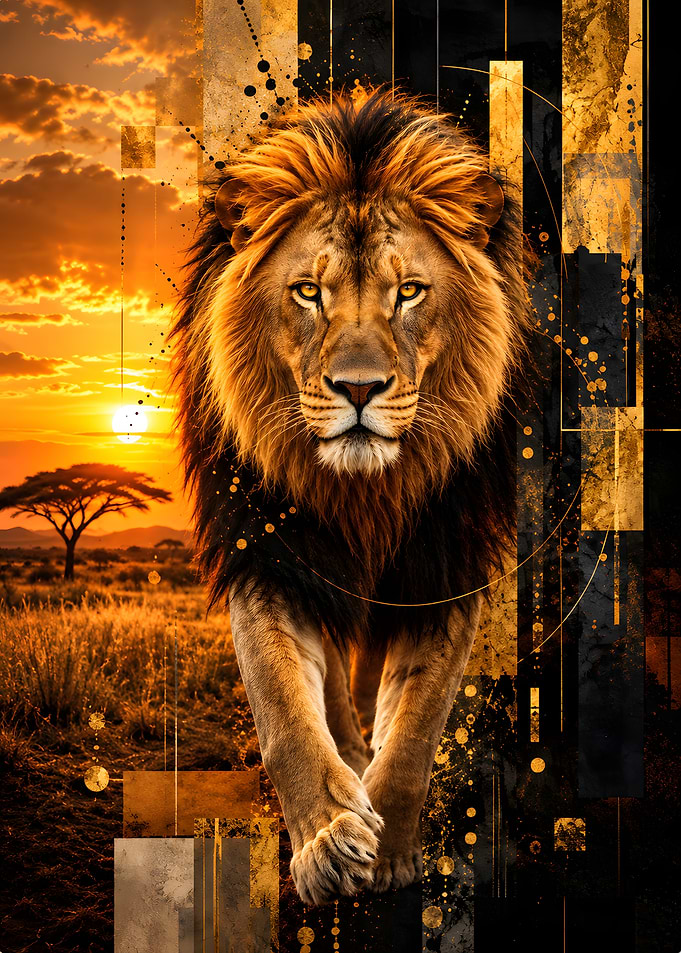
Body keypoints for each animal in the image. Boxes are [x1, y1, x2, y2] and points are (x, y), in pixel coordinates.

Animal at [171, 91, 532, 905]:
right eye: (309, 291)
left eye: (409, 292)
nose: (359, 389)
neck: (367, 493)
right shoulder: (266, 553)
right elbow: (284, 713)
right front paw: (329, 842)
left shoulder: (445, 564)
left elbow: (418, 726)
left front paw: (392, 852)